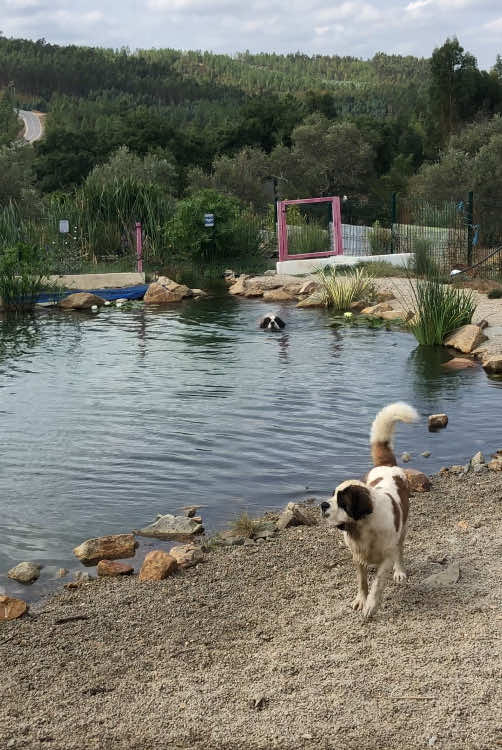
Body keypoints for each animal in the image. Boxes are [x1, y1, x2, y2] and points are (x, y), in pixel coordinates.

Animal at [322, 402, 420, 620]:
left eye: (342, 502)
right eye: (332, 496)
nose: (323, 505)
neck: (364, 528)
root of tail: (386, 465)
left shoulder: (387, 557)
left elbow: (377, 584)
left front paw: (371, 605)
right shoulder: (357, 556)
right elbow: (362, 580)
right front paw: (361, 599)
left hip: (403, 529)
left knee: (400, 551)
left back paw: (399, 571)